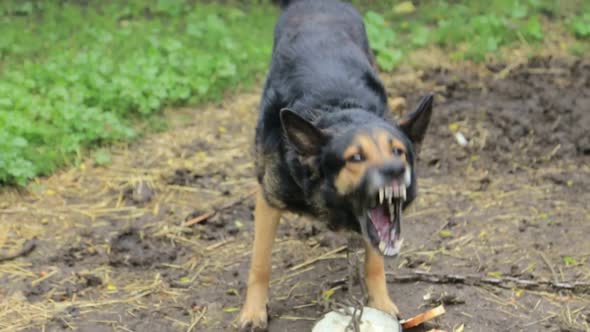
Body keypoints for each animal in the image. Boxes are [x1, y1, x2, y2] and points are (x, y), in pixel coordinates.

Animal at [238, 0, 432, 328]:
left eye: (398, 152)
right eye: (356, 157)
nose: (395, 171)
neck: (339, 109)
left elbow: (375, 261)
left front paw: (380, 302)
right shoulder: (268, 200)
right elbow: (260, 263)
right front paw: (253, 311)